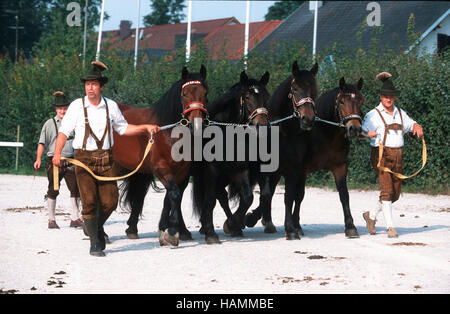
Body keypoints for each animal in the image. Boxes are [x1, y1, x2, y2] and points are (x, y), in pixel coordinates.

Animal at [112, 65, 211, 247]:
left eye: (205, 93)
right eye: (184, 94)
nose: (197, 125)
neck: (168, 133)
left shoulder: (182, 172)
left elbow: (172, 198)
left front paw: (166, 230)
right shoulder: (161, 168)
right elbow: (174, 194)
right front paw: (172, 232)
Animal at [191, 70, 270, 243]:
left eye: (266, 96)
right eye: (246, 97)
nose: (261, 126)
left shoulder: (240, 169)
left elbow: (248, 197)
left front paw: (234, 224)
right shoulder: (212, 171)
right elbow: (210, 200)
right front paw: (212, 232)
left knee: (222, 196)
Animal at [243, 60, 320, 239]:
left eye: (314, 90)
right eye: (295, 89)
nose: (308, 119)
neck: (283, 132)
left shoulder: (293, 169)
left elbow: (288, 197)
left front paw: (290, 229)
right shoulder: (264, 168)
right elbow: (265, 194)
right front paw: (249, 219)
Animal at [244, 76, 364, 238]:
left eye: (361, 101)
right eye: (342, 102)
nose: (354, 128)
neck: (324, 134)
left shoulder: (340, 167)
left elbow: (344, 195)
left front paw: (350, 226)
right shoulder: (301, 169)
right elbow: (298, 195)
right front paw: (296, 226)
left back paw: (266, 221)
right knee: (269, 192)